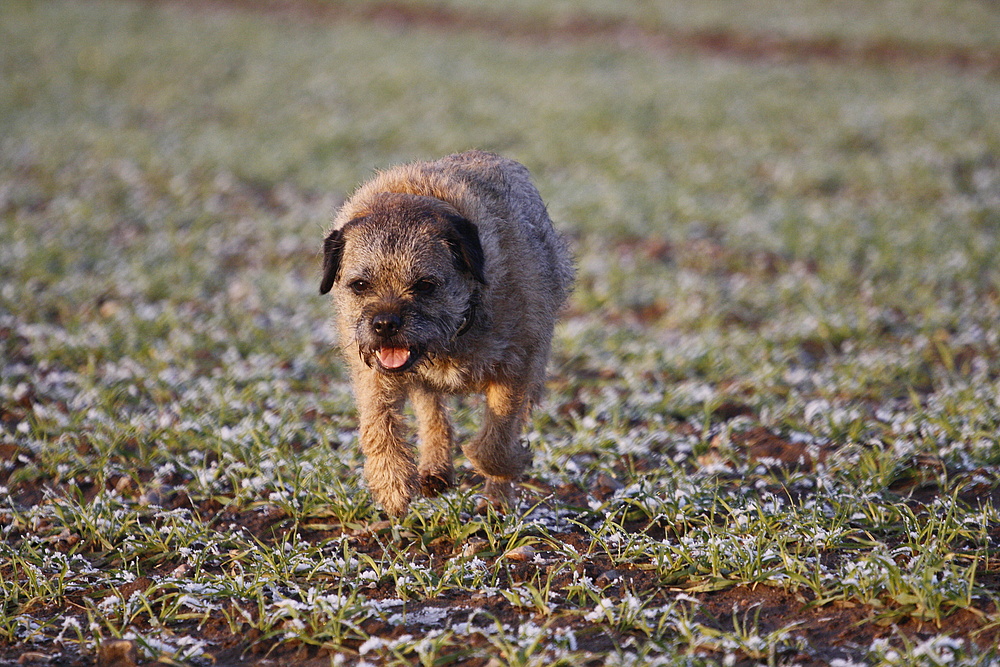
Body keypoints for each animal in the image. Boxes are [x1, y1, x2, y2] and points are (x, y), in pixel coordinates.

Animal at [318, 151, 572, 516]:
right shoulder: (374, 373)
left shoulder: (517, 367)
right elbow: (378, 422)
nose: (385, 324)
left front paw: (508, 465)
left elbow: (497, 439)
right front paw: (391, 482)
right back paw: (435, 467)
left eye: (425, 285)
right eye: (360, 285)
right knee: (432, 413)